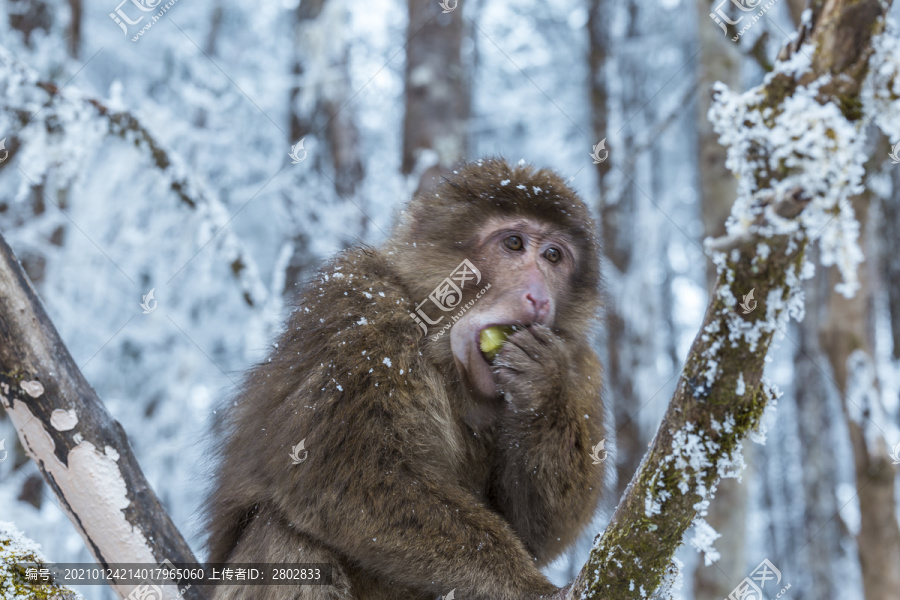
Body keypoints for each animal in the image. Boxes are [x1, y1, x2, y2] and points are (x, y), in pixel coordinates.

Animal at [206, 159, 604, 600]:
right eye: (514, 244)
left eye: (553, 256)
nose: (540, 297)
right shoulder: (360, 308)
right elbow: (338, 476)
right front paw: (523, 586)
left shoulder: (581, 365)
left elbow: (532, 530)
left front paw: (542, 388)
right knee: (285, 538)